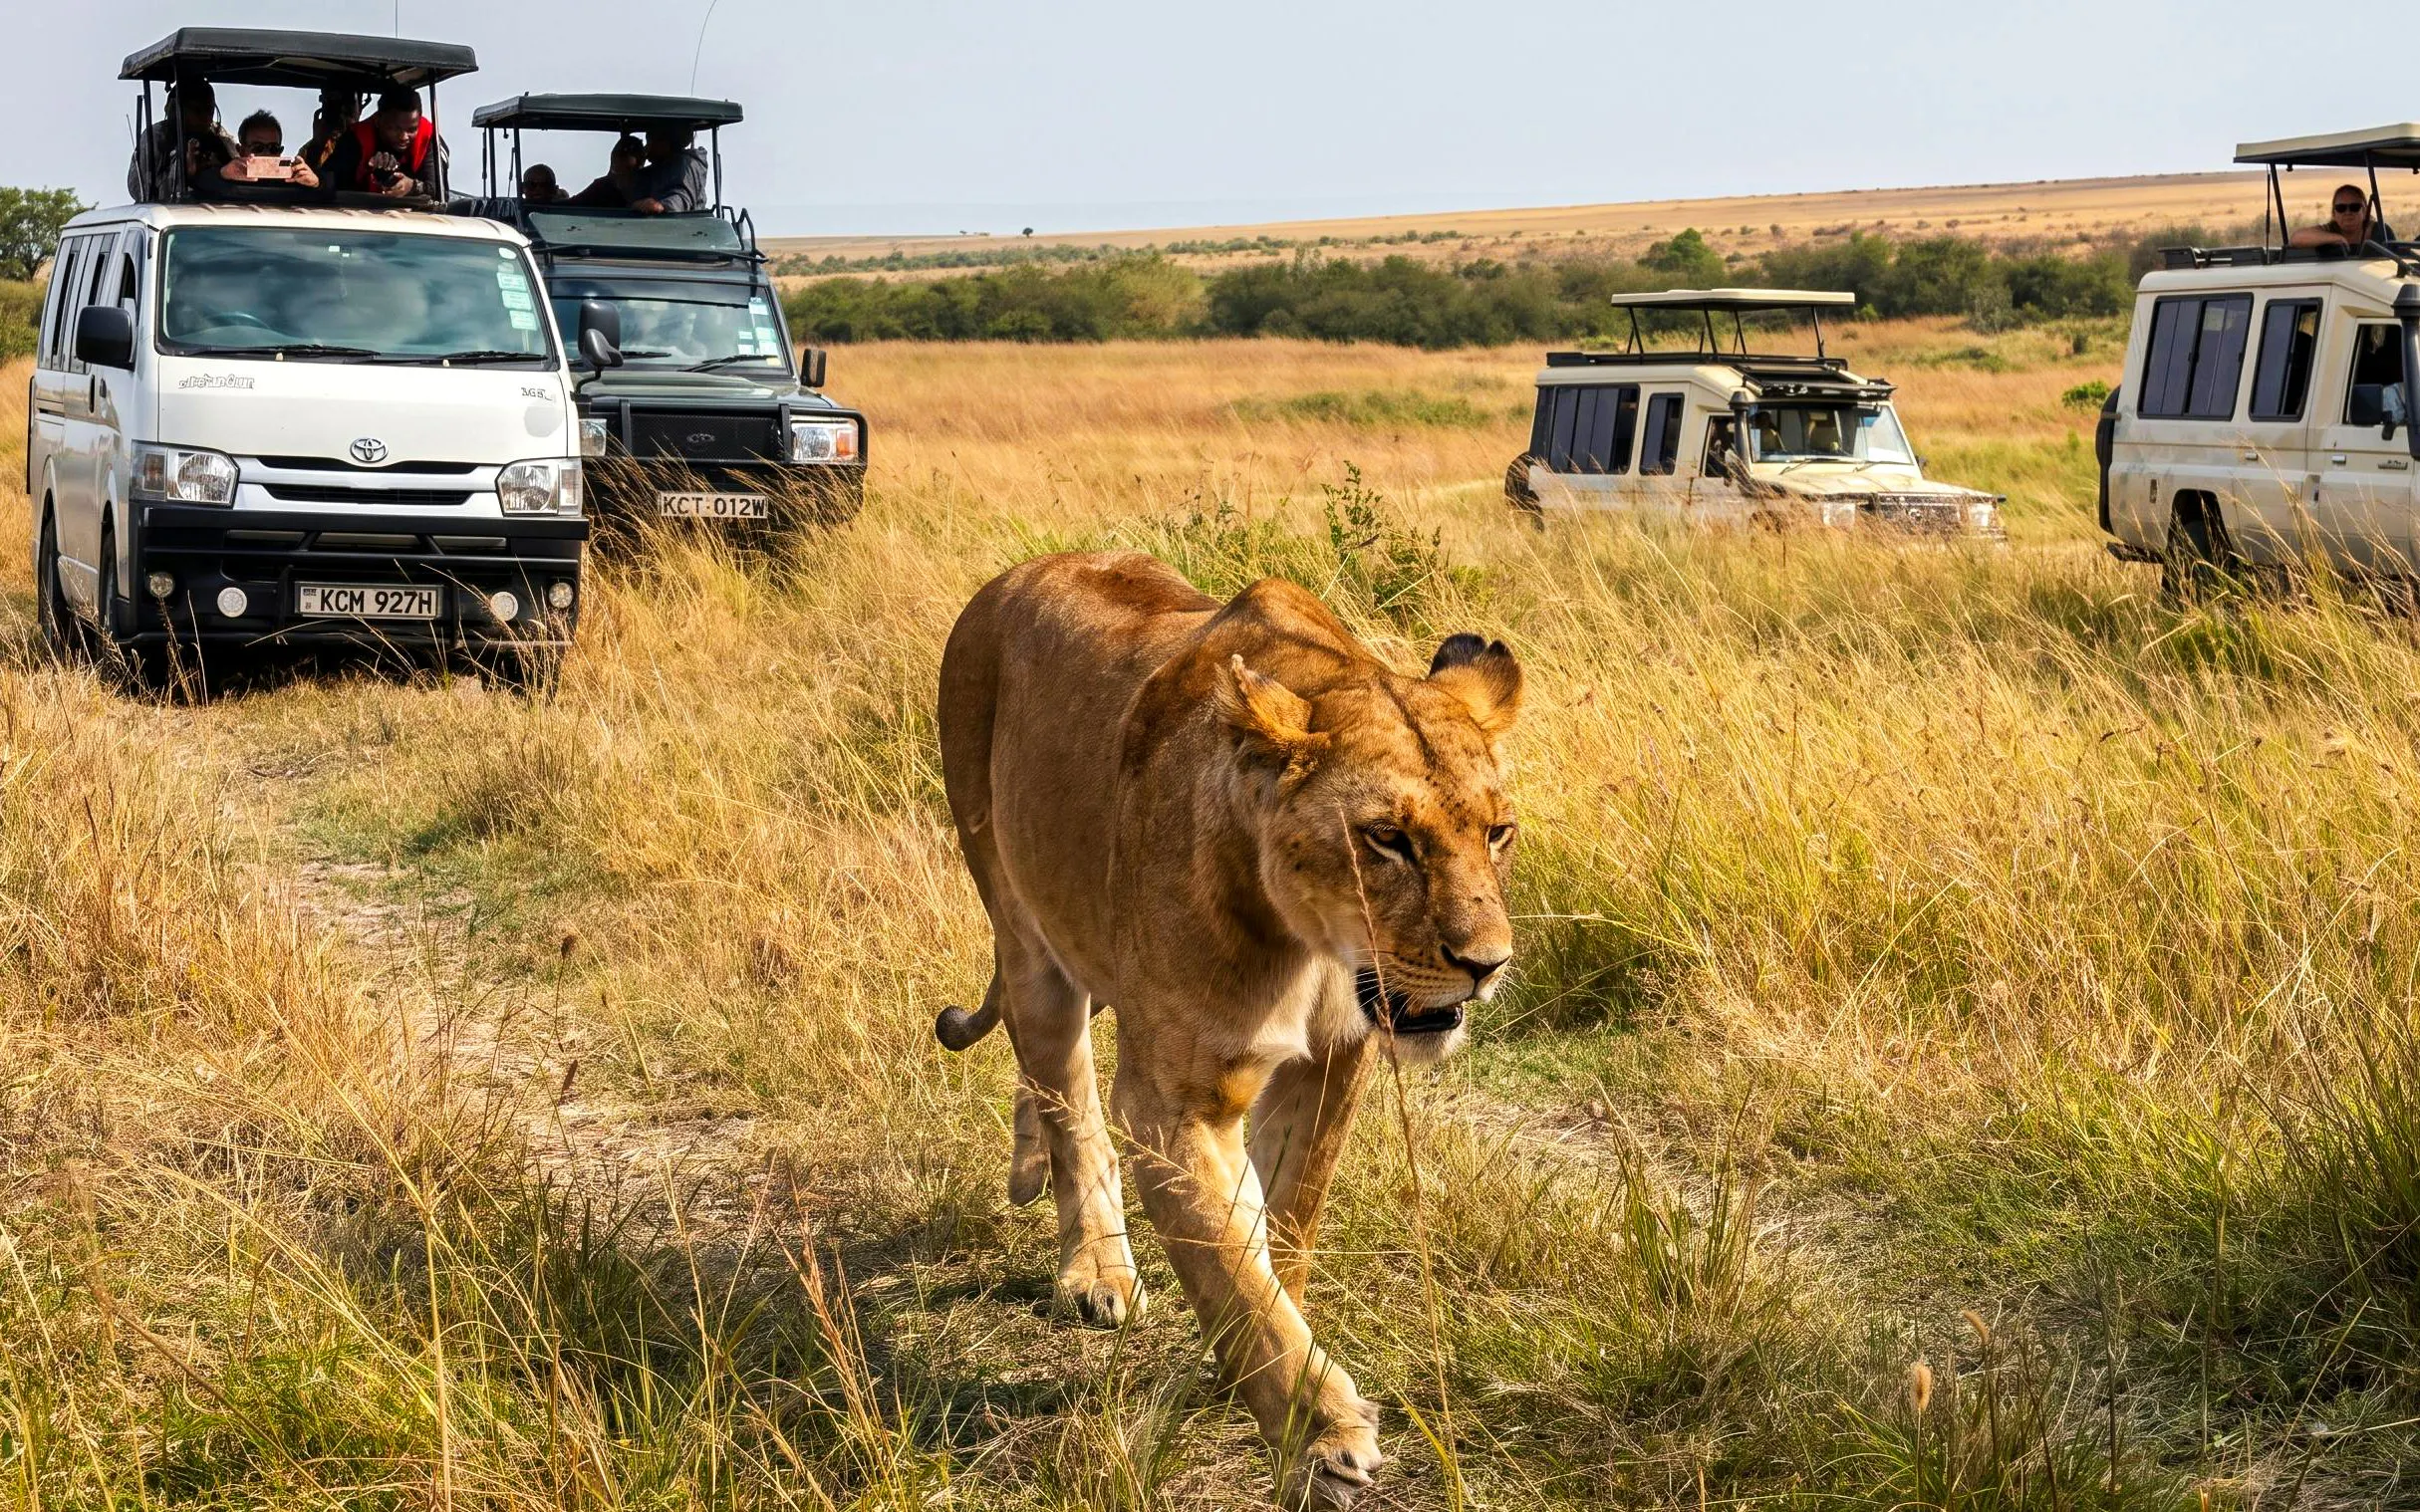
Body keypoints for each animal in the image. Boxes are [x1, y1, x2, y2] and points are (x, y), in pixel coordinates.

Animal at [934, 551, 1522, 1508]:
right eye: (1385, 838)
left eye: (1497, 831)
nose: (1486, 963)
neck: (1314, 943)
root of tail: (1018, 574)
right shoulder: (1176, 1100)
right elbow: (1228, 1257)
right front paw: (1321, 1440)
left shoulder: (1337, 1061)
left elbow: (1282, 1225)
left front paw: (1247, 1369)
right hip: (1023, 930)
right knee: (1068, 1103)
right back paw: (1095, 1272)